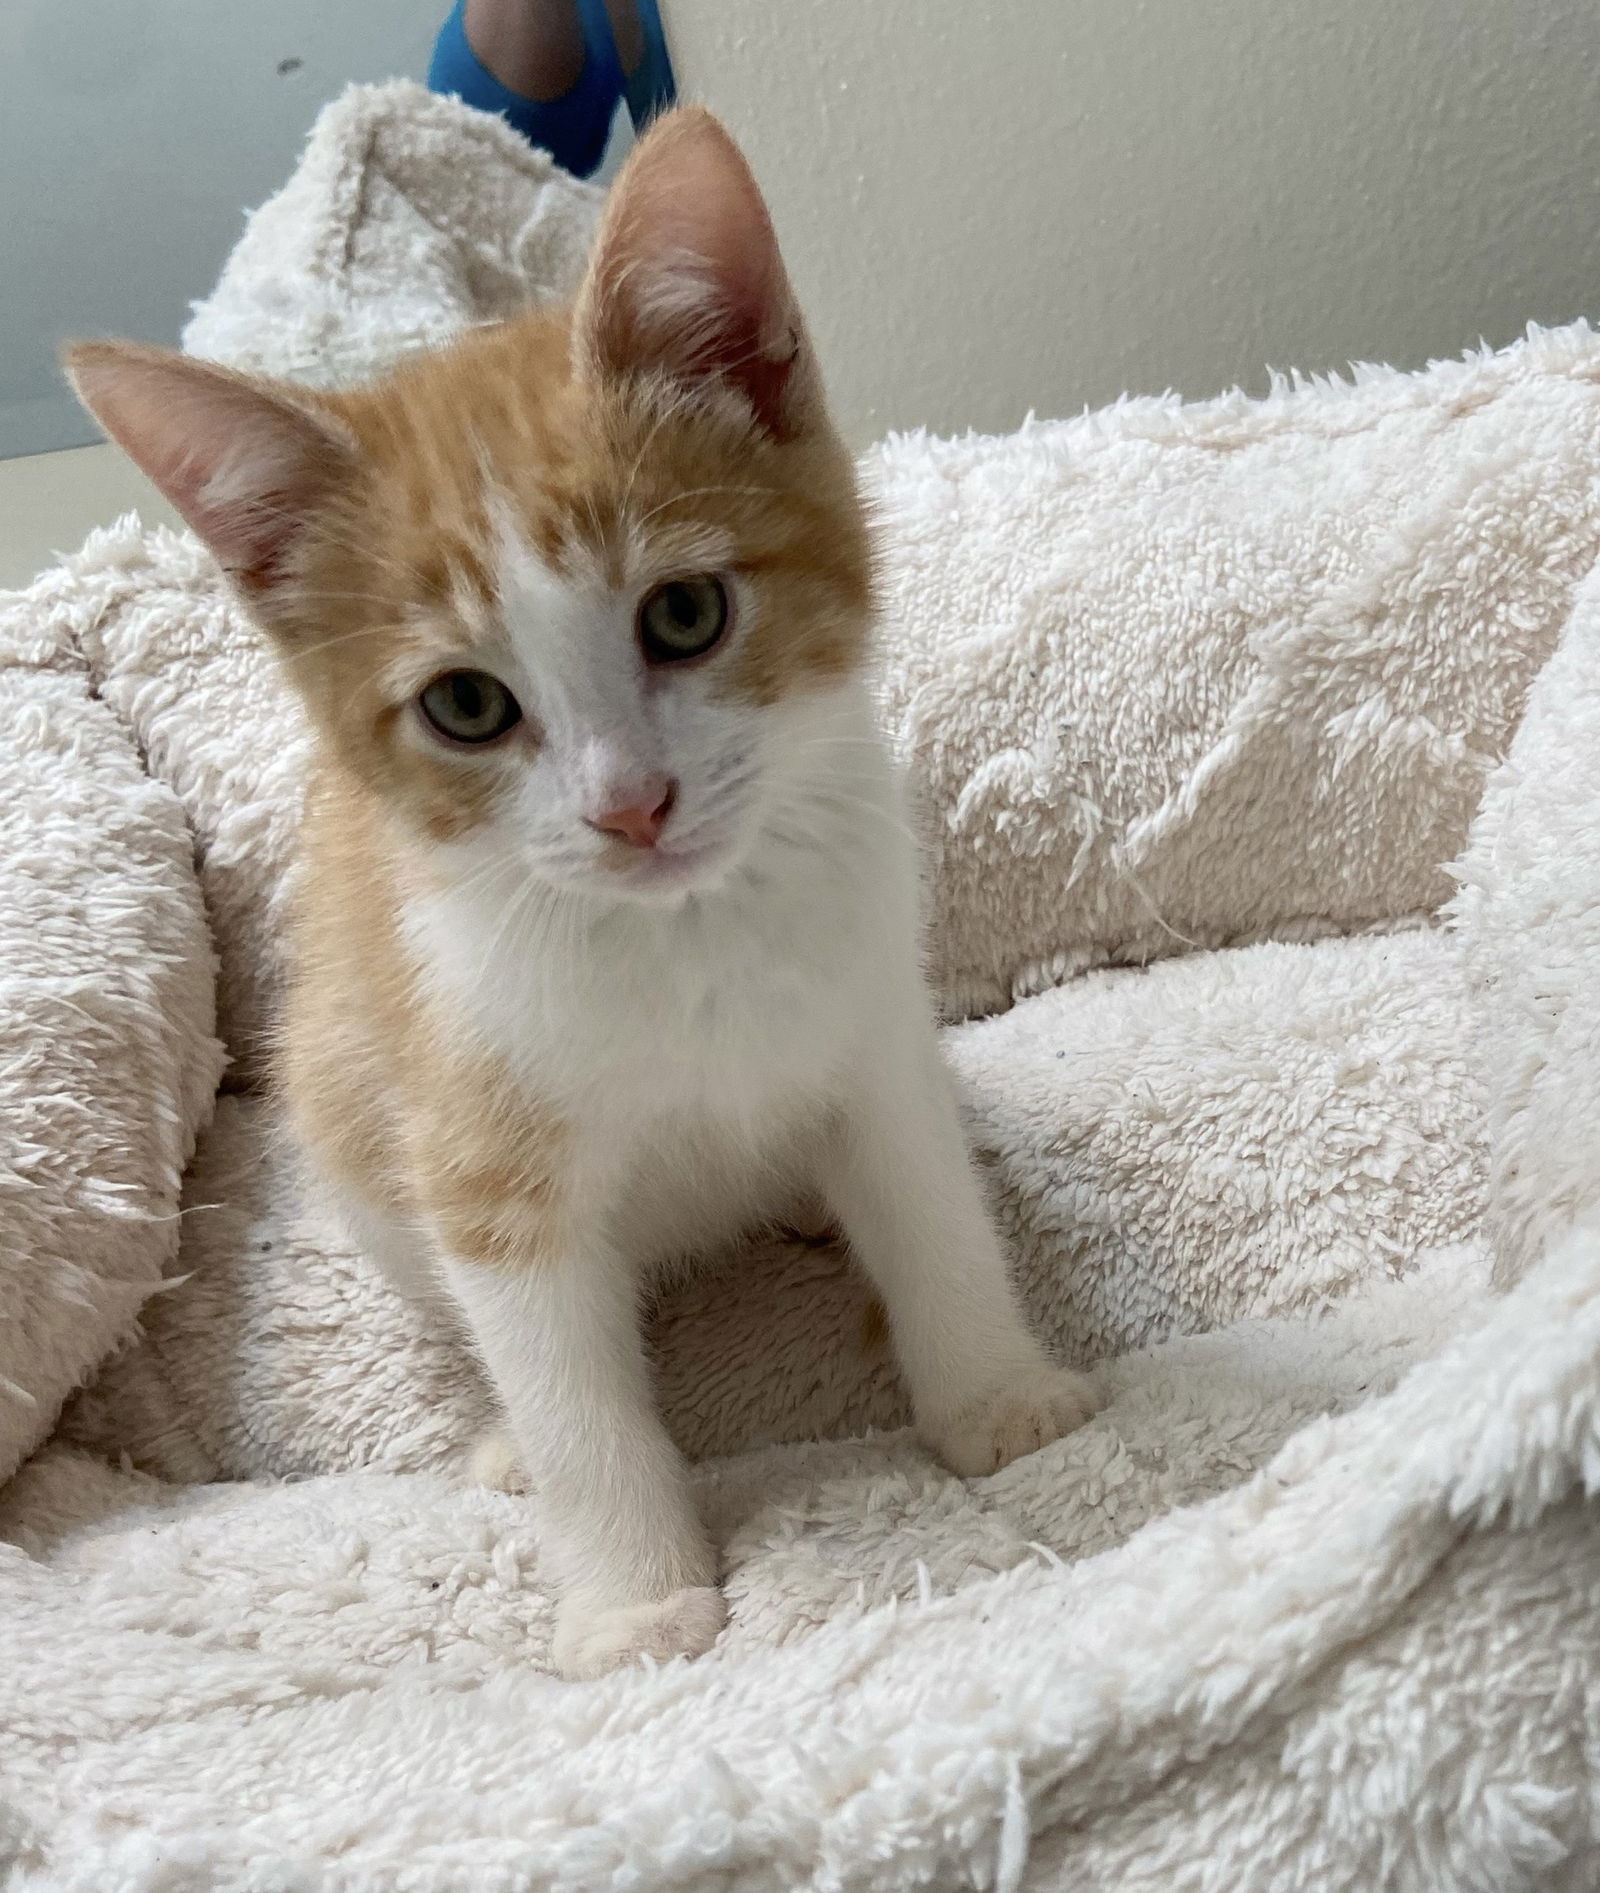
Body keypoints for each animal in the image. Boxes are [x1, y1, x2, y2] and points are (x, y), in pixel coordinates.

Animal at [74, 103, 1098, 1680]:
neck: (680, 939)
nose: (632, 806)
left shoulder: (876, 1026)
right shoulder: (476, 1138)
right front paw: (631, 1598)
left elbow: (928, 1205)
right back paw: (505, 1447)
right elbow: (561, 1373)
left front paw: (997, 1396)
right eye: (466, 706)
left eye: (684, 613)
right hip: (351, 1115)